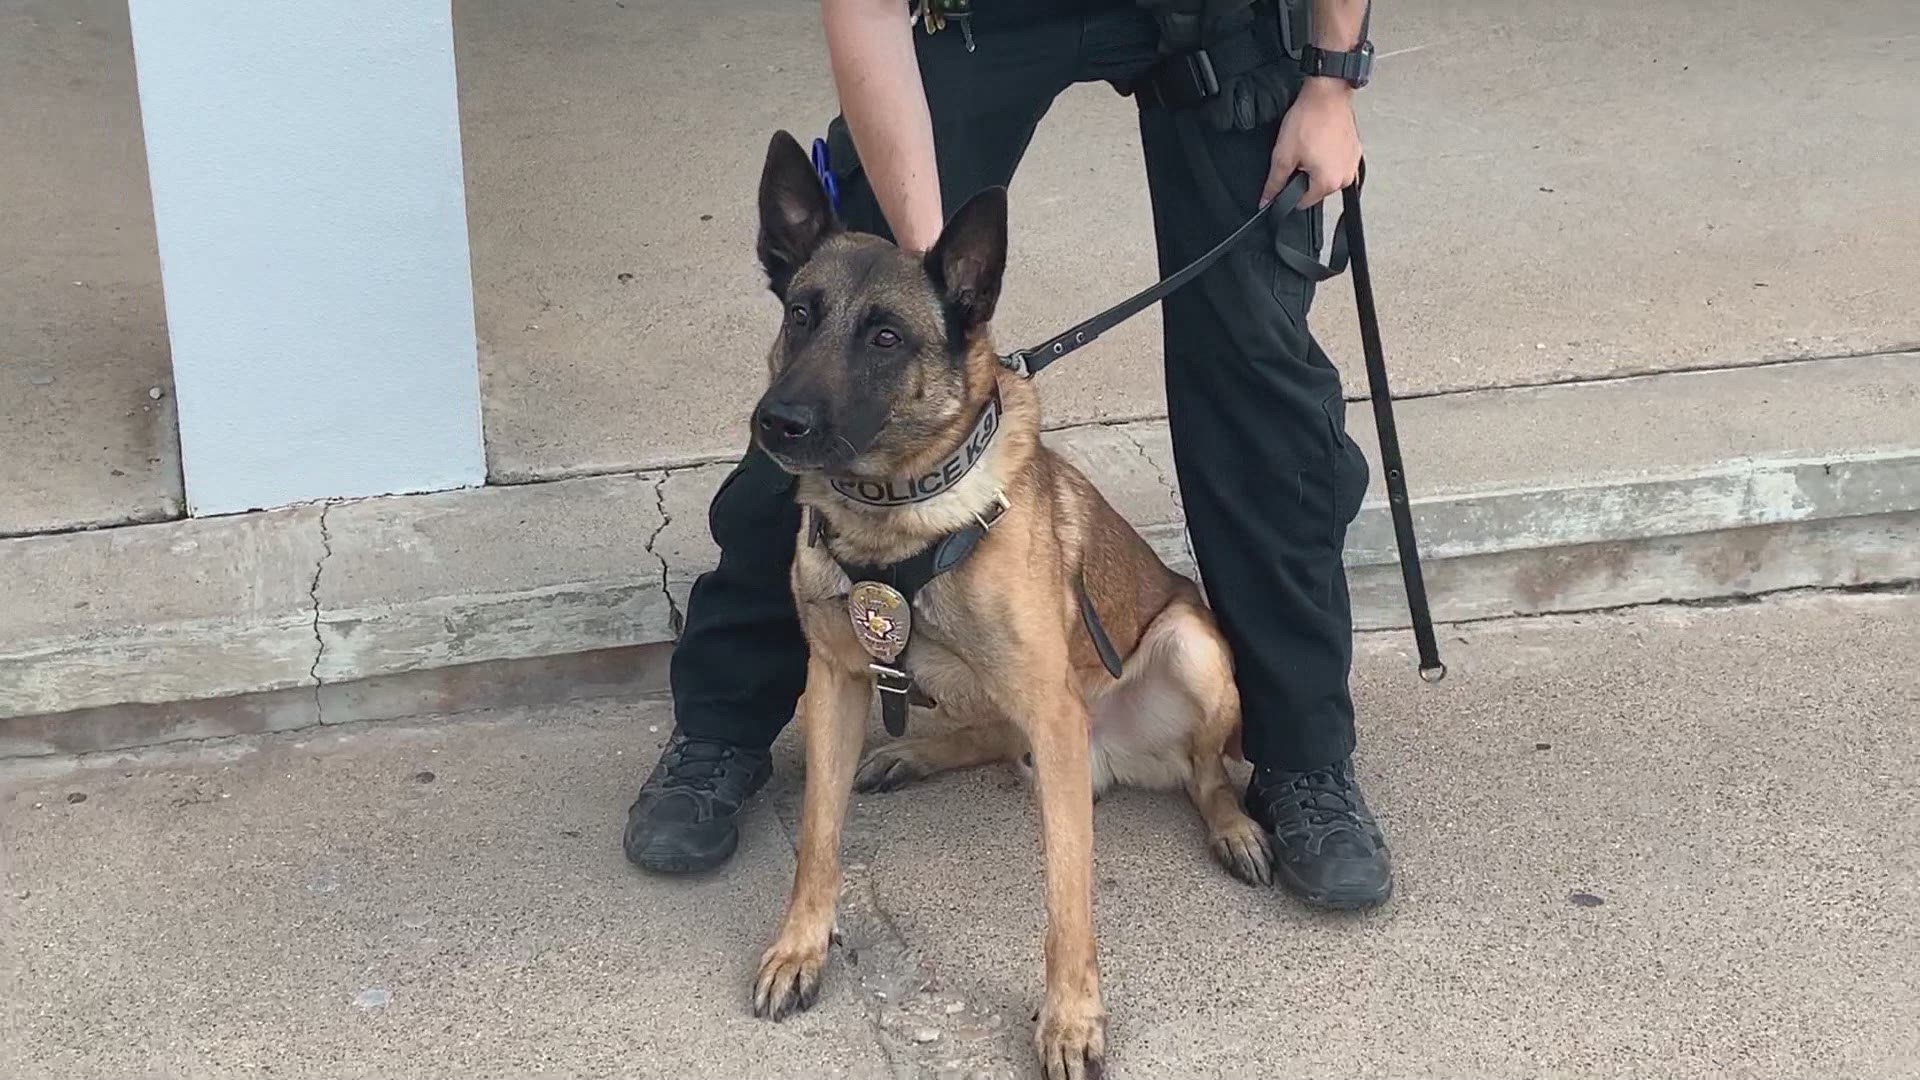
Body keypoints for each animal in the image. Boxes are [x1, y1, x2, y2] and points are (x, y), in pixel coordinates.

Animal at [748, 132, 1274, 1076]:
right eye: (800, 314)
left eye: (886, 336)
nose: (778, 422)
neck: (896, 513)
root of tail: (1119, 758)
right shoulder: (836, 682)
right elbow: (818, 837)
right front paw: (800, 947)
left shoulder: (1054, 712)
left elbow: (1067, 897)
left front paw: (1071, 1019)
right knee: (991, 734)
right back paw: (911, 755)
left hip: (1187, 648)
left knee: (1207, 773)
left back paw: (1235, 829)